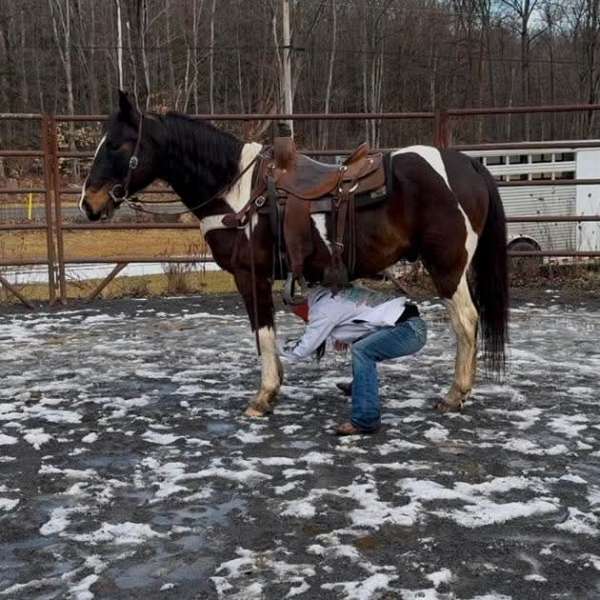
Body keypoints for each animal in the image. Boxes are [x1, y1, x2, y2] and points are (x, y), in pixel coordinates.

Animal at [79, 91, 508, 418]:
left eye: (117, 144)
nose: (88, 204)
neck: (237, 192)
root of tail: (467, 164)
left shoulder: (249, 275)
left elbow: (263, 332)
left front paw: (264, 395)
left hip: (447, 268)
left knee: (466, 322)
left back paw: (455, 393)